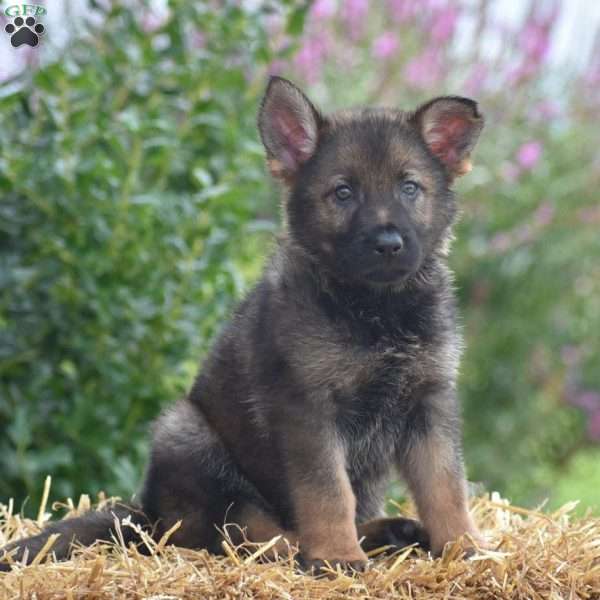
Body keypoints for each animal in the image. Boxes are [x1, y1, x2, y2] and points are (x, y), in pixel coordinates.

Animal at [0, 77, 482, 576]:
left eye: (410, 188)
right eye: (343, 193)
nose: (388, 244)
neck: (377, 310)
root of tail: (147, 517)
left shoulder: (429, 401)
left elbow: (446, 486)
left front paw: (466, 548)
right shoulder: (309, 409)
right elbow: (328, 493)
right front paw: (336, 556)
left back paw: (388, 533)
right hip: (187, 435)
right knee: (236, 533)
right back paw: (311, 550)